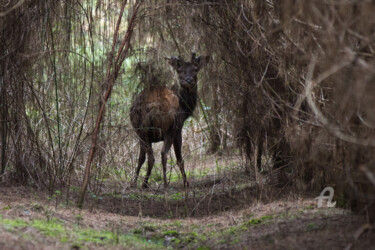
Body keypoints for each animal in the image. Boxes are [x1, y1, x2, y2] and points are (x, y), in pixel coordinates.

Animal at [131, 53, 210, 189]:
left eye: (195, 69)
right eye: (180, 70)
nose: (189, 80)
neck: (185, 109)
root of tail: (153, 106)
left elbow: (141, 158)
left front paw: (134, 182)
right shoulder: (178, 129)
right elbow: (180, 159)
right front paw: (186, 183)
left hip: (141, 131)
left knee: (146, 157)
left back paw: (141, 183)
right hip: (170, 128)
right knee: (162, 154)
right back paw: (164, 183)